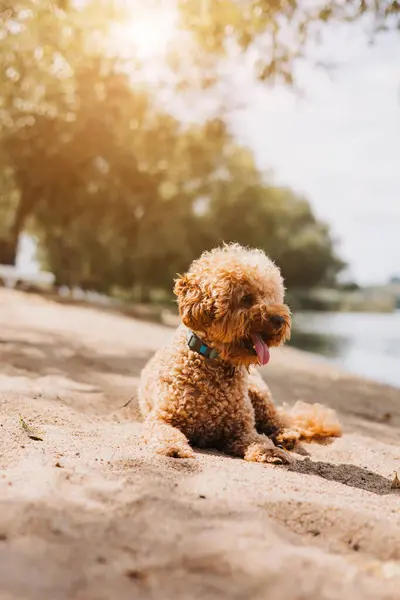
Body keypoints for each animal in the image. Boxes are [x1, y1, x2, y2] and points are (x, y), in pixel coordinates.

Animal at [138, 244, 340, 464]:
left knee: (278, 420)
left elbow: (259, 440)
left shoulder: (242, 430)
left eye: (273, 296)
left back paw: (285, 436)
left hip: (259, 393)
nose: (279, 320)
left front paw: (271, 451)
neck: (213, 361)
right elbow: (165, 432)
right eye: (245, 298)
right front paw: (173, 447)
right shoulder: (162, 417)